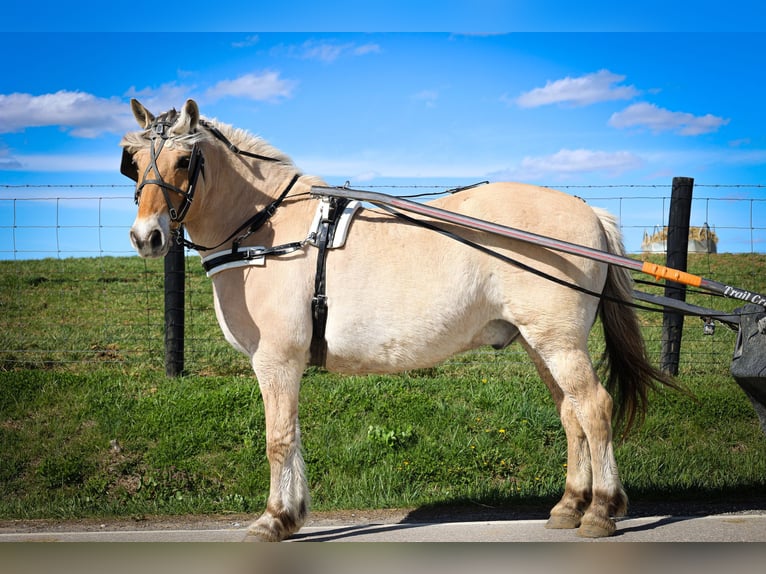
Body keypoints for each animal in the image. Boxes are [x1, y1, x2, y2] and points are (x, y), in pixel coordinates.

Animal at [121, 97, 680, 544]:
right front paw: (293, 513)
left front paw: (273, 519)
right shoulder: (286, 365)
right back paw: (569, 505)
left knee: (595, 408)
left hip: (559, 341)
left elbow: (277, 439)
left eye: (184, 158)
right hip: (539, 343)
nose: (147, 237)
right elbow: (293, 436)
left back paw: (602, 510)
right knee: (571, 413)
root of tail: (590, 211)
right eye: (136, 161)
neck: (269, 229)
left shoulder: (275, 359)